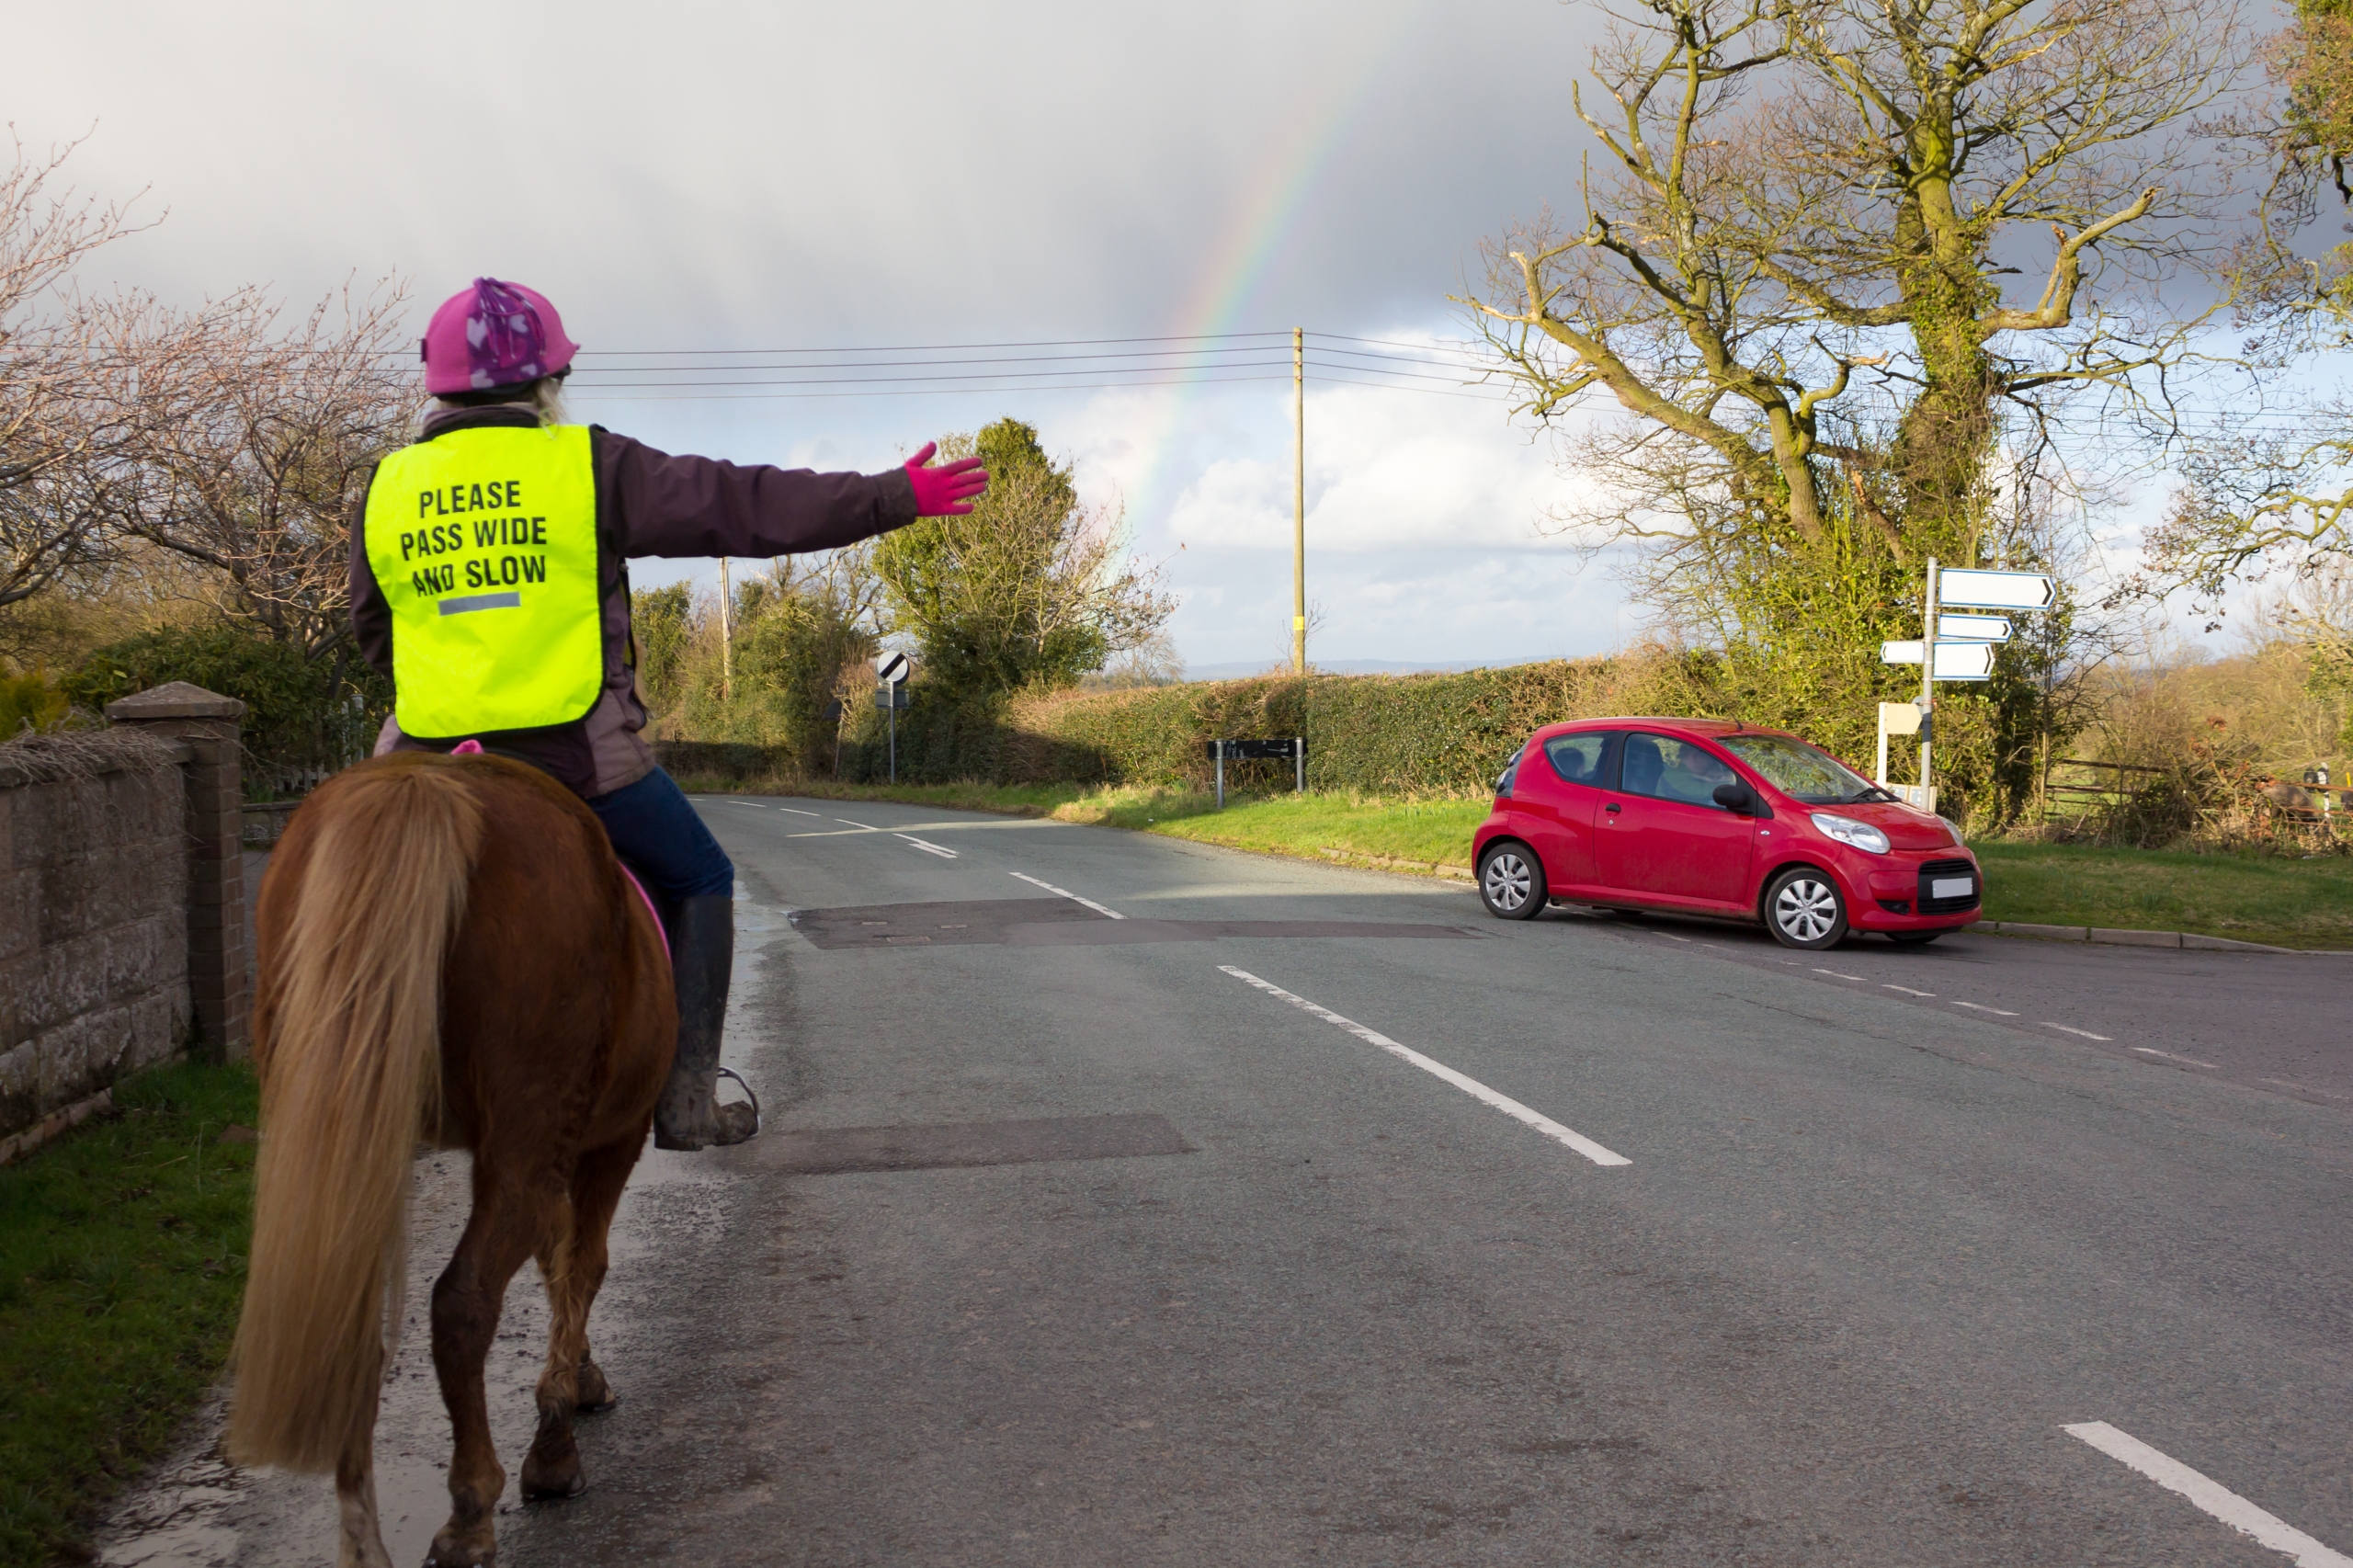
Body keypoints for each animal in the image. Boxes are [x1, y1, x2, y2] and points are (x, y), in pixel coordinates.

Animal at [228, 744, 677, 1562]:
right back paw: (474, 1507)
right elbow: (580, 1264)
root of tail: (427, 783)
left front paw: (577, 1384)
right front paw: (558, 1435)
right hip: (530, 1137)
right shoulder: (609, 1139)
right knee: (464, 1301)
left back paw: (364, 1543)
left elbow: (559, 1262)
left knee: (355, 1320)